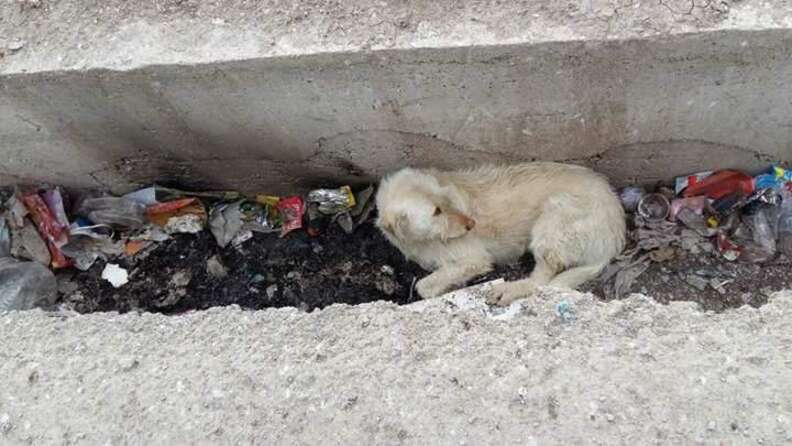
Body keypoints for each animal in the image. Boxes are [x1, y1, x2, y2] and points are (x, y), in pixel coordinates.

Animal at [374, 162, 628, 304]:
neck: (423, 241)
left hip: (554, 221)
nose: (471, 224)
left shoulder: (474, 259)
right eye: (436, 212)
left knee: (541, 280)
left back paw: (509, 290)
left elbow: (423, 286)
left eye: (446, 198)